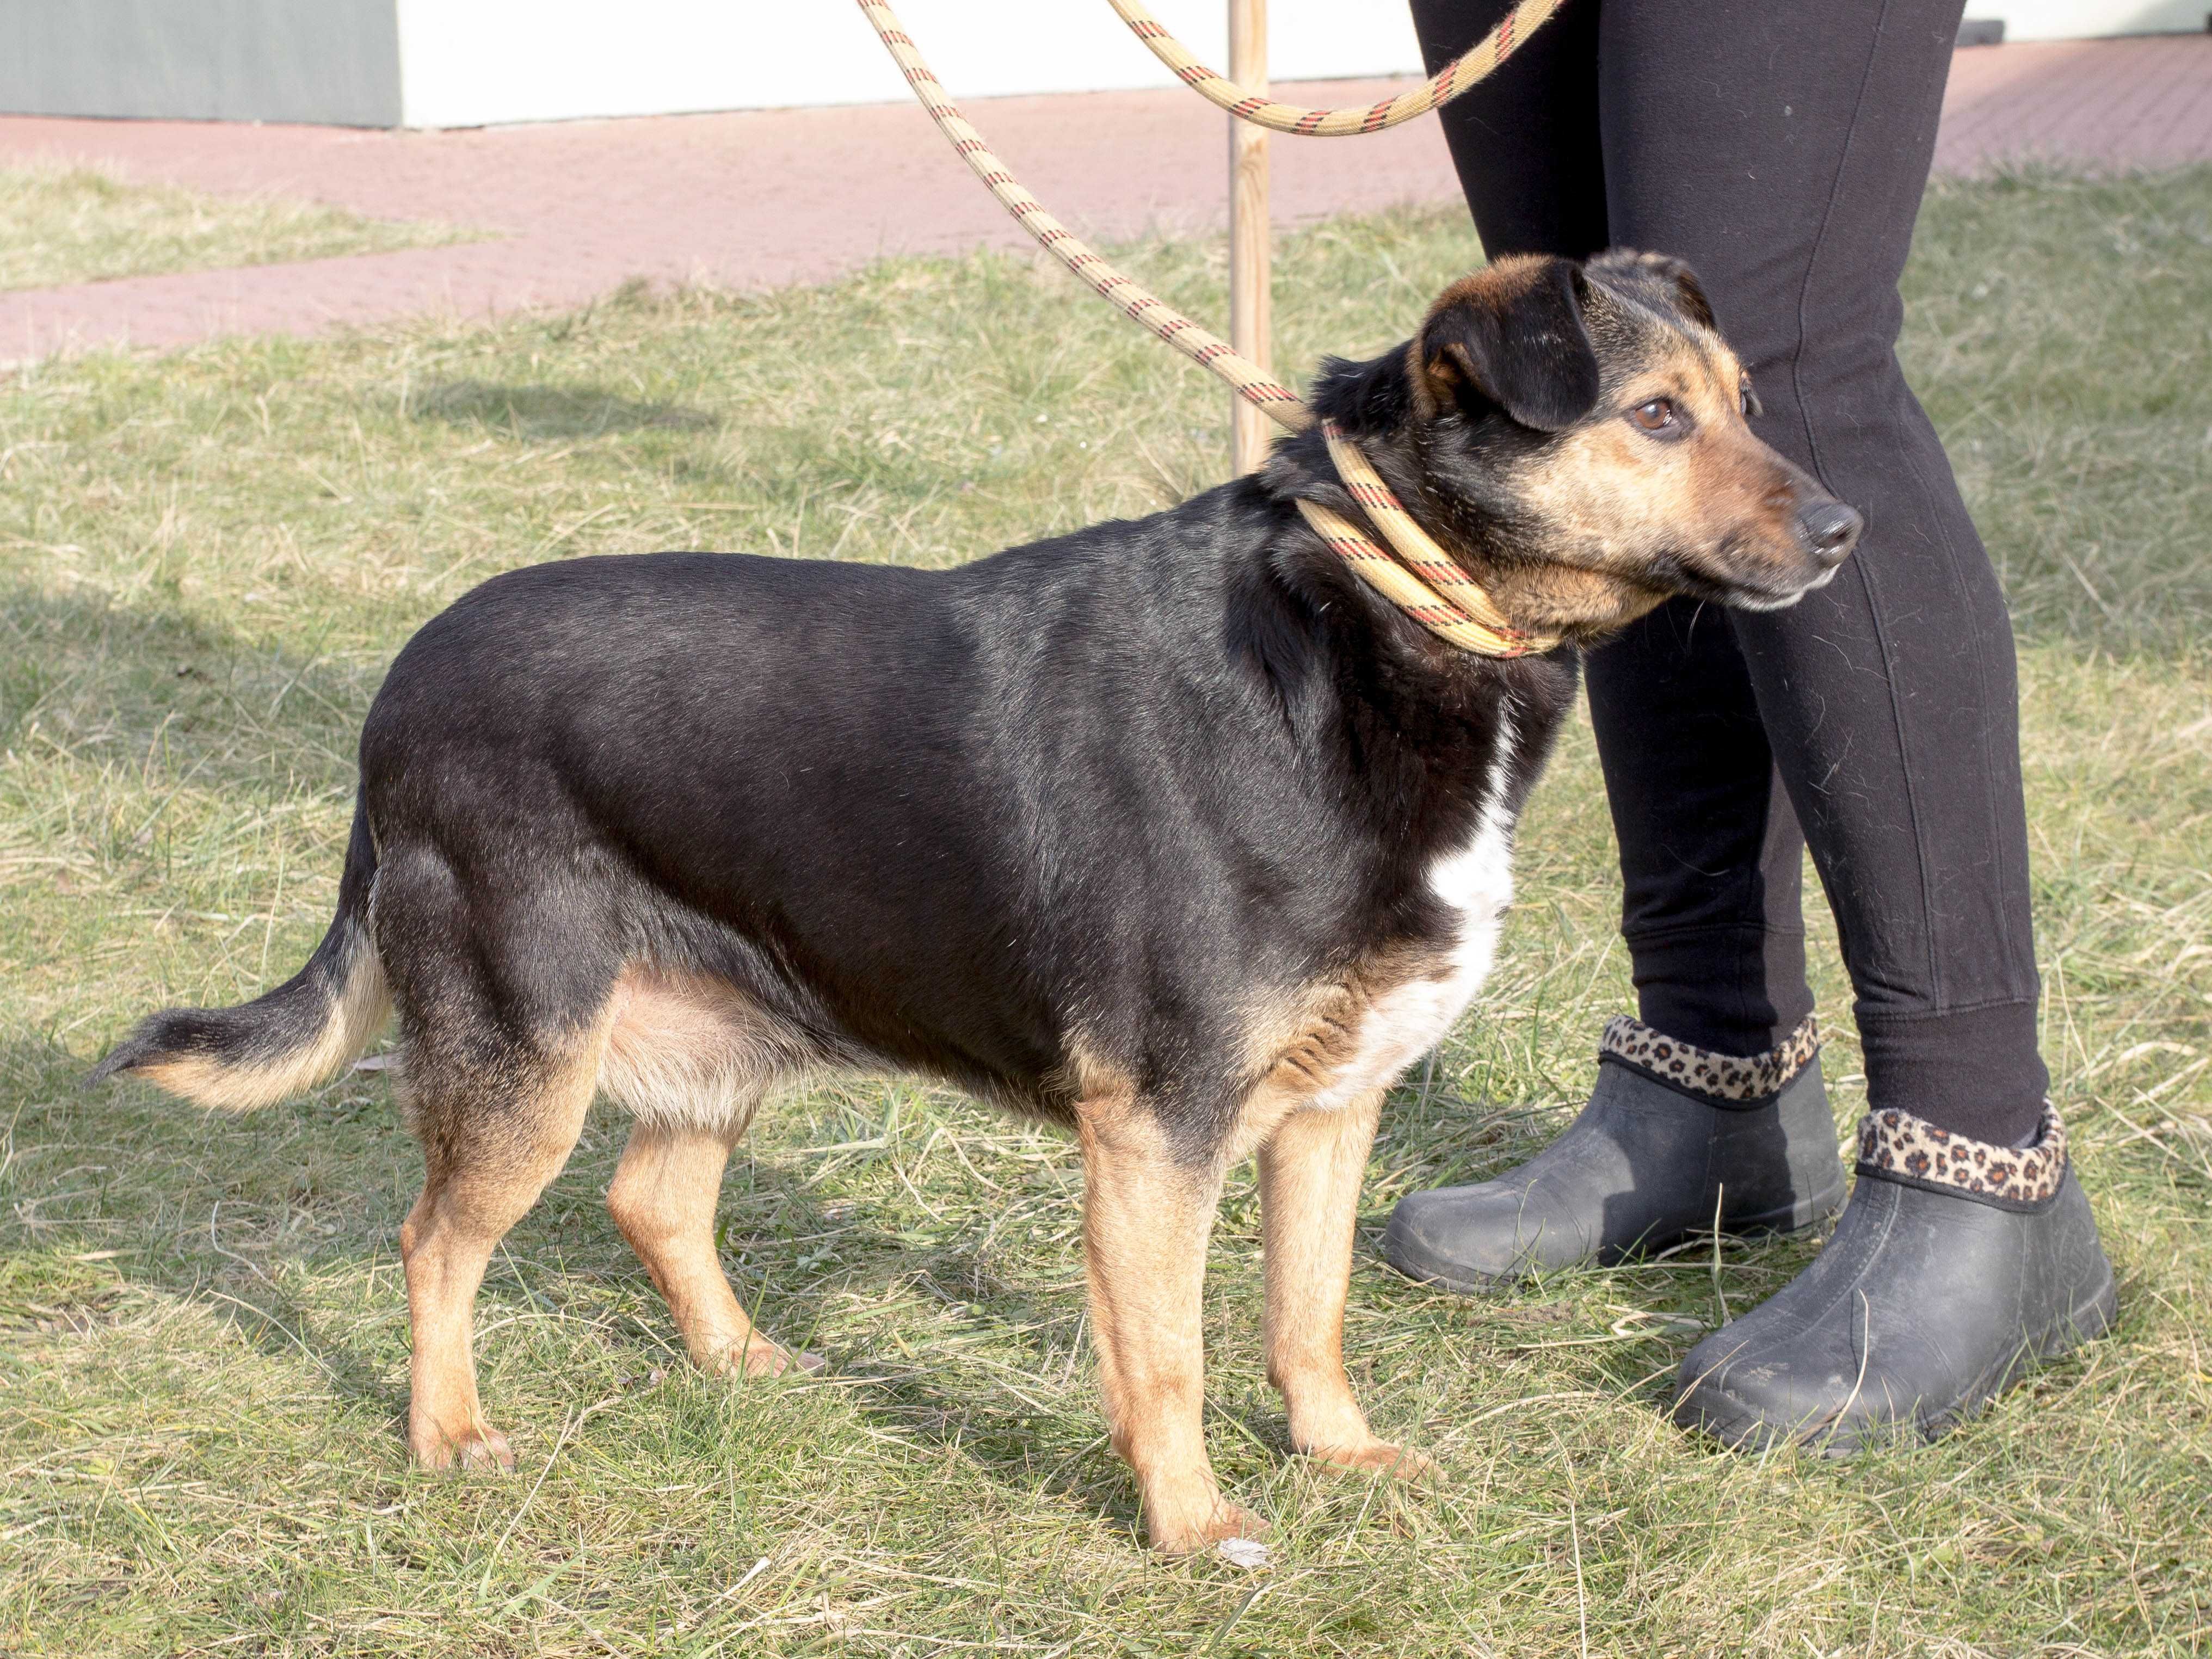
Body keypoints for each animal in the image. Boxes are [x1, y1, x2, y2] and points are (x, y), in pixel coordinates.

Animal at [90, 250, 1849, 1557]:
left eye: (1748, 407)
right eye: (1655, 415)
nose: (1845, 529)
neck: (1373, 608)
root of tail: (398, 690)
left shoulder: (1330, 1105)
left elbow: (1310, 1313)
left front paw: (1336, 1455)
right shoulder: (1159, 1126)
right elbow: (1168, 1353)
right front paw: (1192, 1526)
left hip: (730, 1029)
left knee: (651, 1197)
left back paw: (741, 1361)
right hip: (527, 1053)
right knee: (434, 1241)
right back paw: (447, 1429)